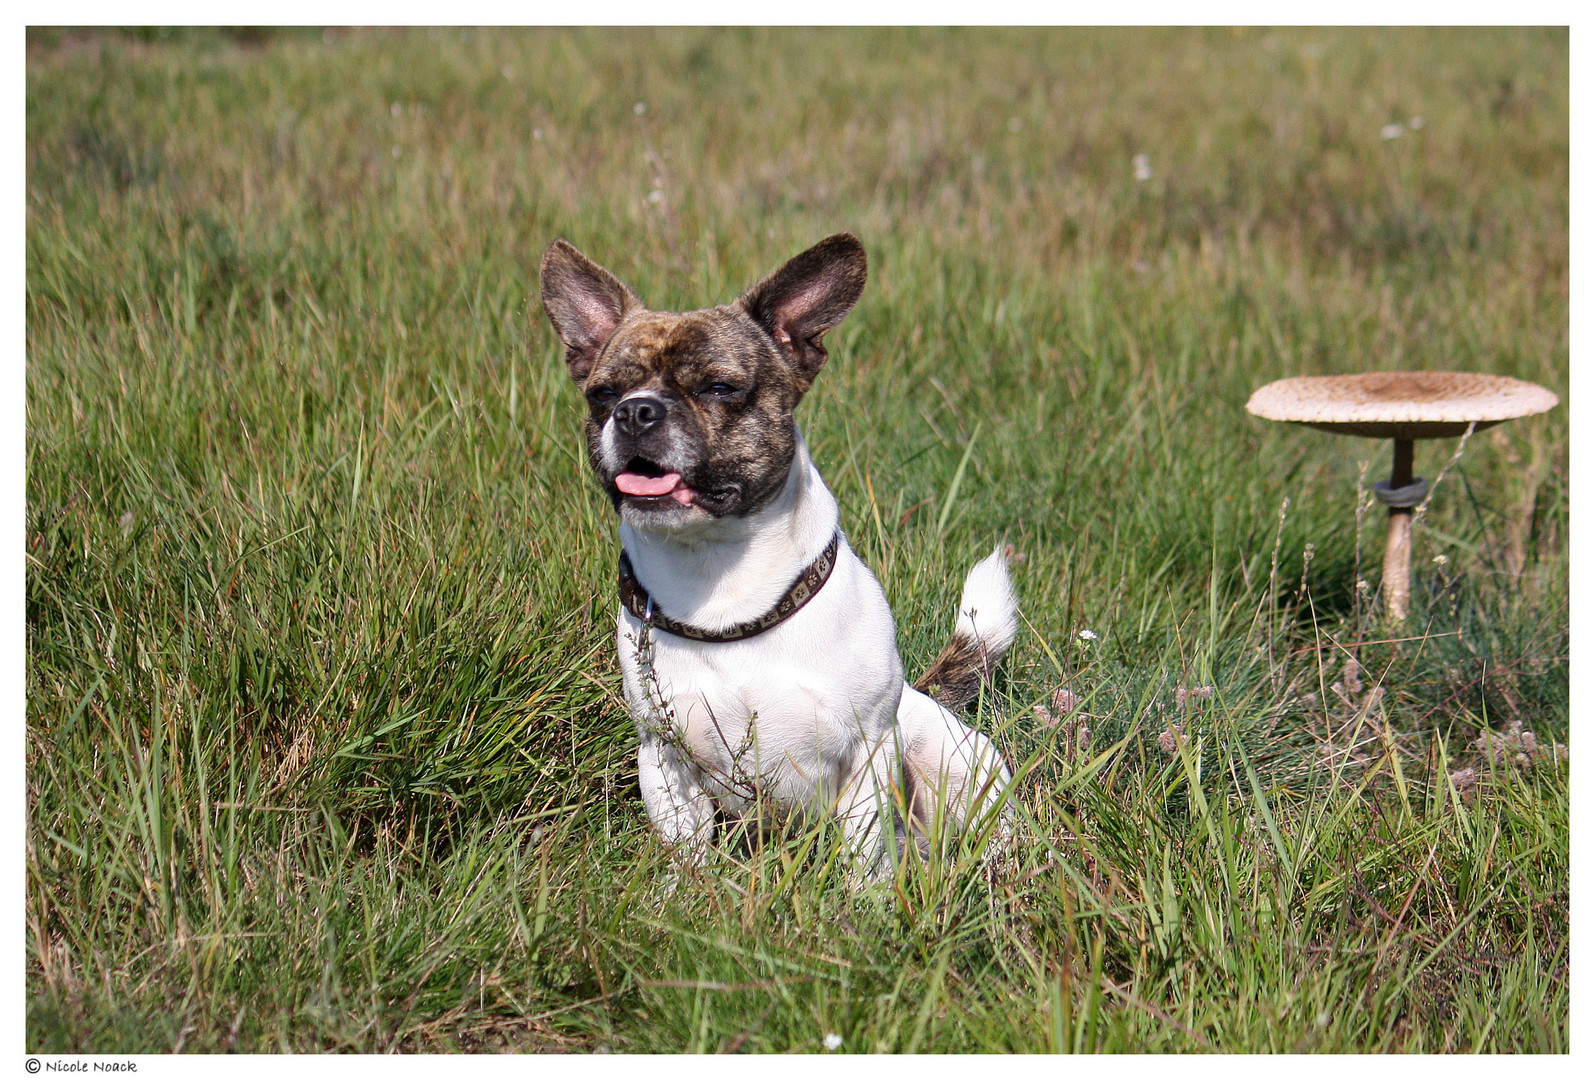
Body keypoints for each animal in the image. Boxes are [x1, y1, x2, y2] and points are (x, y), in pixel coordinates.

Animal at [542, 236, 1014, 874]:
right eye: (603, 394)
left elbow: (863, 857)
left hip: (954, 766)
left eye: (719, 388)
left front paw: (863, 897)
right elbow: (689, 855)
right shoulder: (664, 761)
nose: (636, 410)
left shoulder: (866, 754)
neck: (718, 576)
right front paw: (685, 891)